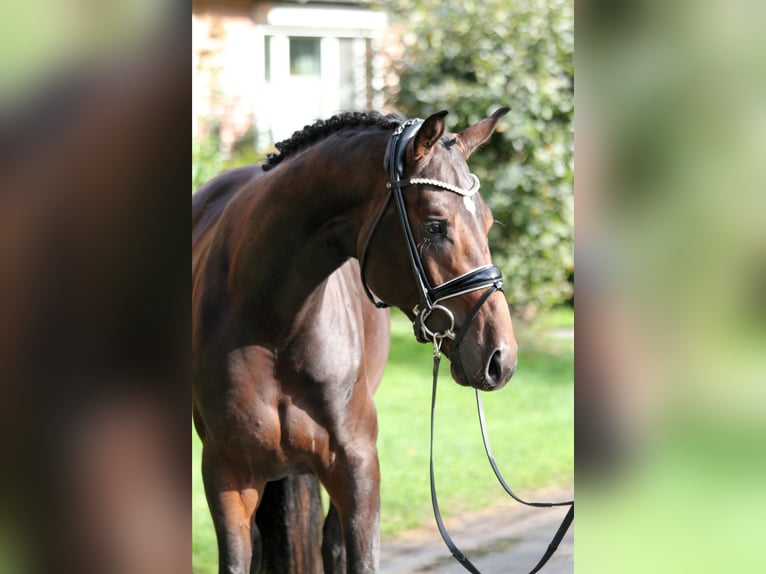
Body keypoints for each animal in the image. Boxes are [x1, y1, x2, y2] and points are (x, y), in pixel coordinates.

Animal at [190, 109, 520, 574]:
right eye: (436, 225)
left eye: (489, 222)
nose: (501, 357)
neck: (274, 322)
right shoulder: (226, 474)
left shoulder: (357, 468)